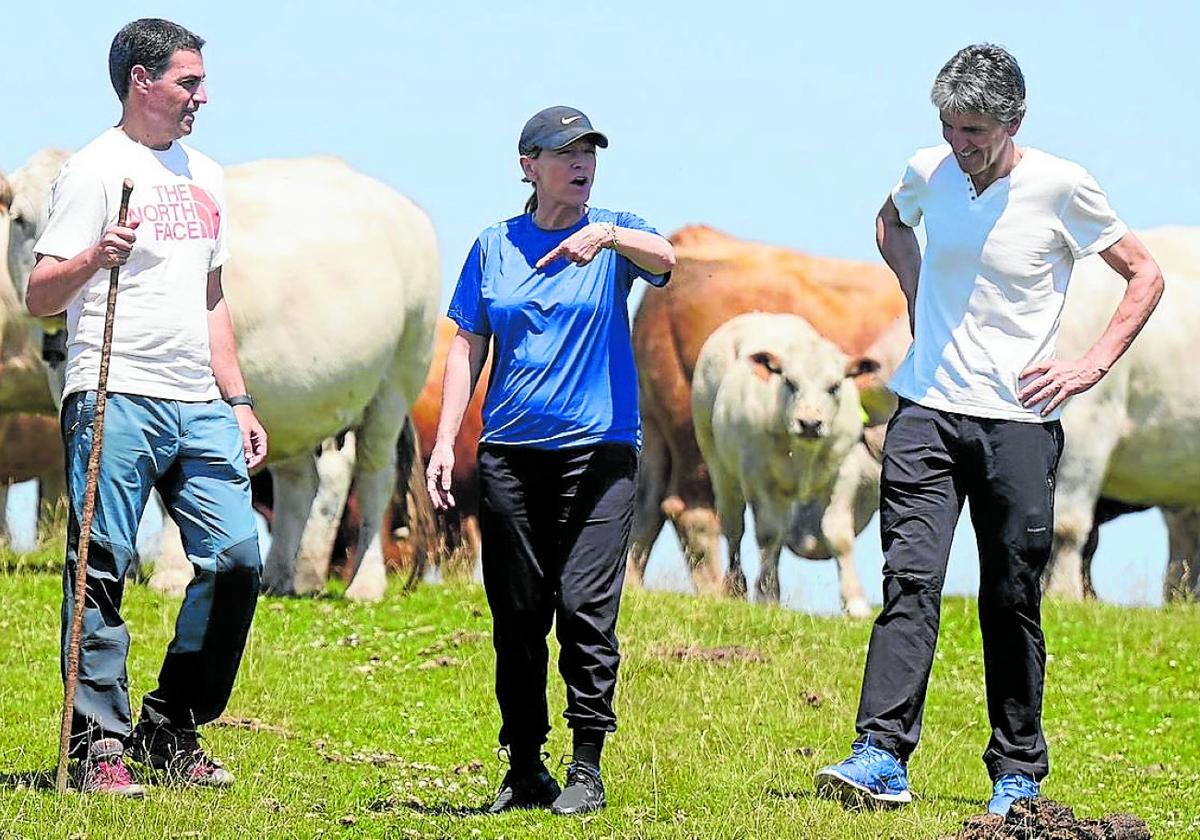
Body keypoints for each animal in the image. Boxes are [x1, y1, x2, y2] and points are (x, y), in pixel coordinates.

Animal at [0, 151, 441, 597]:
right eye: (21, 218)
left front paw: (171, 574)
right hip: (294, 402)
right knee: (300, 482)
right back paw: (279, 578)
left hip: (396, 382)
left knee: (373, 479)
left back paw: (364, 585)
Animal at [691, 312, 878, 614]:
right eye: (790, 382)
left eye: (834, 386)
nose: (810, 423)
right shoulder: (759, 478)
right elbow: (768, 534)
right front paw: (766, 595)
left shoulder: (844, 474)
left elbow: (838, 536)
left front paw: (855, 602)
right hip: (720, 467)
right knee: (734, 528)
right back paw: (737, 586)